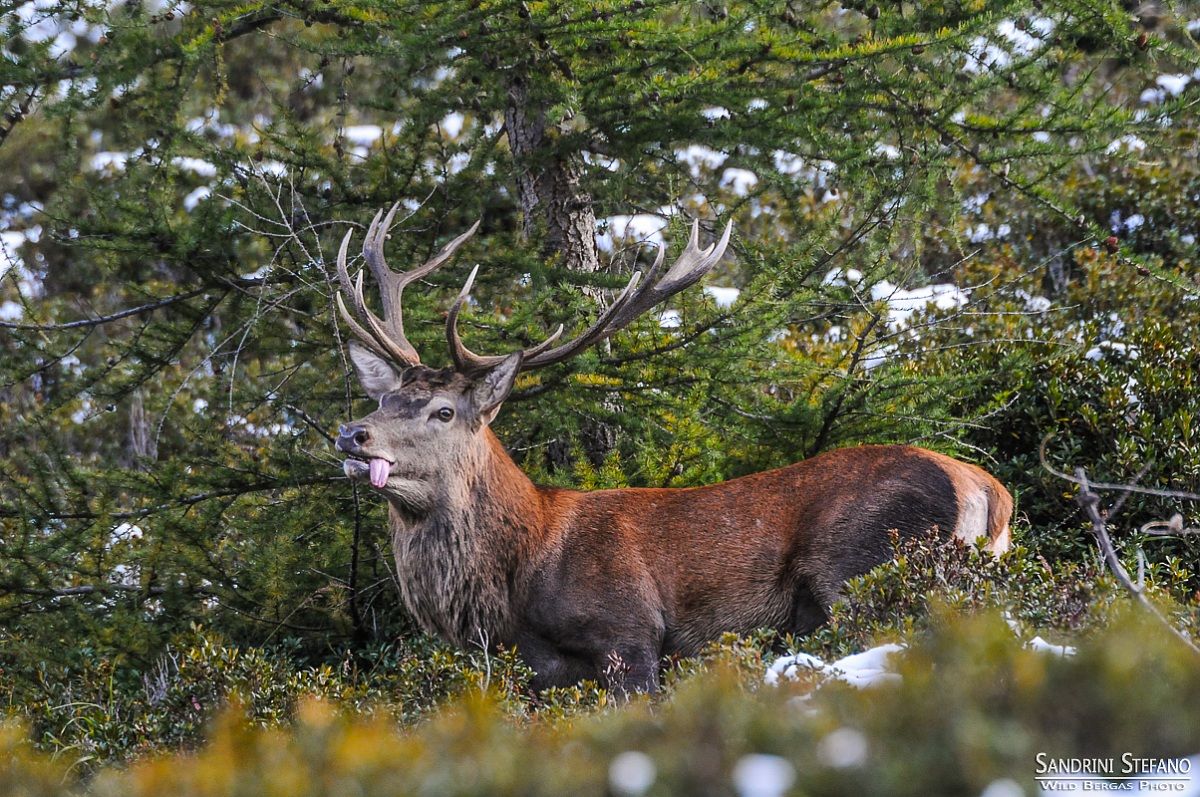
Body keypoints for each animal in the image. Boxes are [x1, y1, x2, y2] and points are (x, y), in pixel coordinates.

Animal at [332, 204, 1013, 694]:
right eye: (385, 399)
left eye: (444, 411)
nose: (351, 433)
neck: (515, 585)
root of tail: (990, 492)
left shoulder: (629, 635)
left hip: (864, 572)